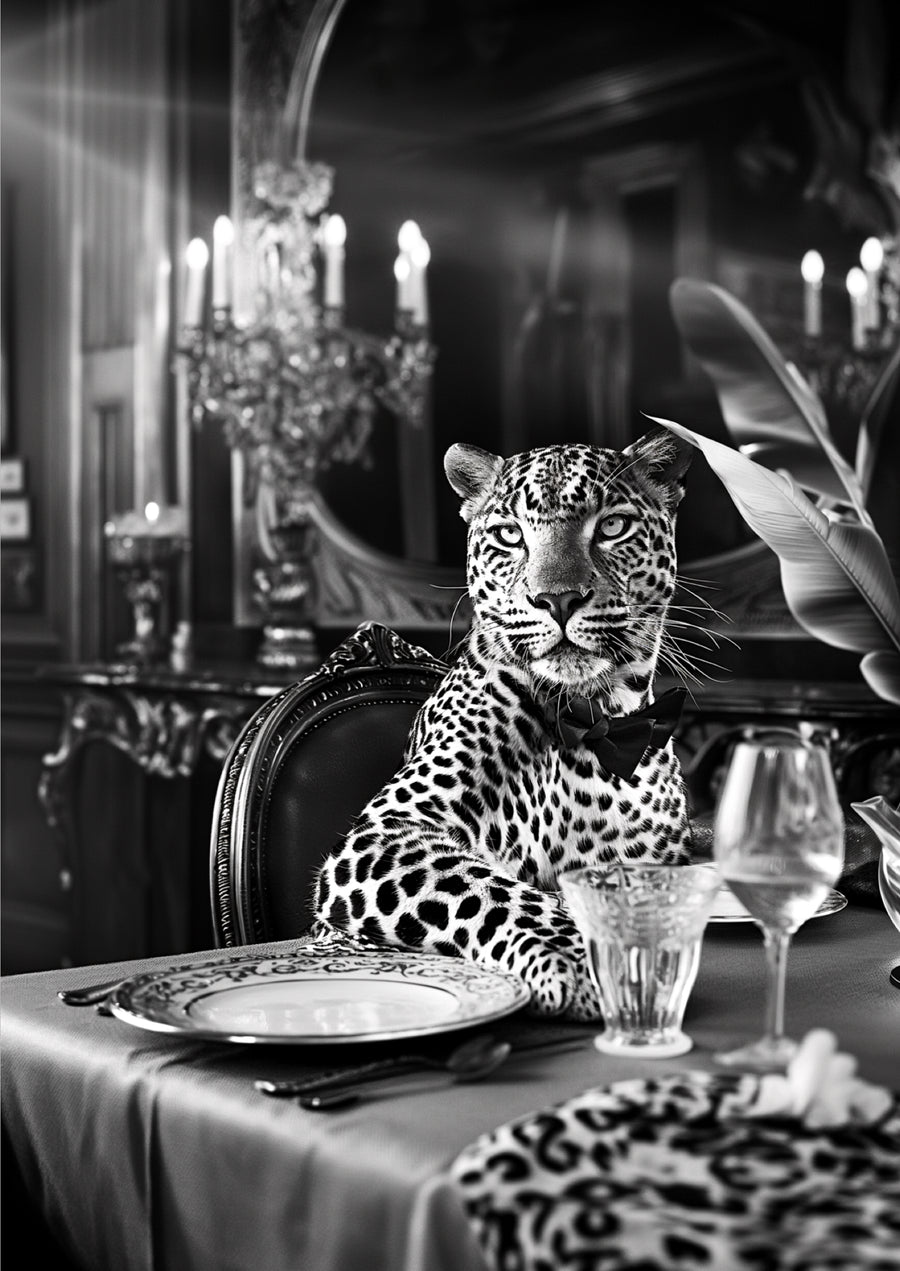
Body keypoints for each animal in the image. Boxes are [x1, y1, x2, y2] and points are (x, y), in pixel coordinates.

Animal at [313, 426, 696, 1021]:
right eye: (510, 535)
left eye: (612, 527)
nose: (557, 599)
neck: (593, 720)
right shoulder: (384, 833)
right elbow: (491, 889)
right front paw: (585, 962)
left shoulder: (661, 861)